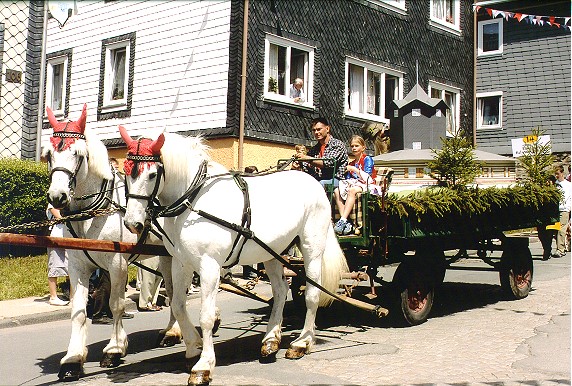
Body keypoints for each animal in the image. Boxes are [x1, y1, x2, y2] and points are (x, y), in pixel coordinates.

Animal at [44, 105, 188, 380]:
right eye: (49, 155)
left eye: (77, 154)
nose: (57, 197)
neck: (92, 212)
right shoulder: (77, 266)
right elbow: (78, 311)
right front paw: (73, 358)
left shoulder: (117, 263)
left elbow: (116, 304)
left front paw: (114, 349)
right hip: (166, 256)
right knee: (173, 289)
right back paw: (173, 331)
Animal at [118, 126, 346, 386]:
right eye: (126, 171)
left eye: (153, 174)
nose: (132, 223)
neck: (194, 199)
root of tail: (313, 182)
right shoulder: (181, 263)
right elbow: (177, 305)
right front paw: (193, 347)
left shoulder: (209, 266)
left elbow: (206, 316)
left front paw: (204, 365)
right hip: (272, 252)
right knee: (280, 291)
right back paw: (271, 339)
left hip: (311, 249)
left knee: (312, 294)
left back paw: (302, 341)